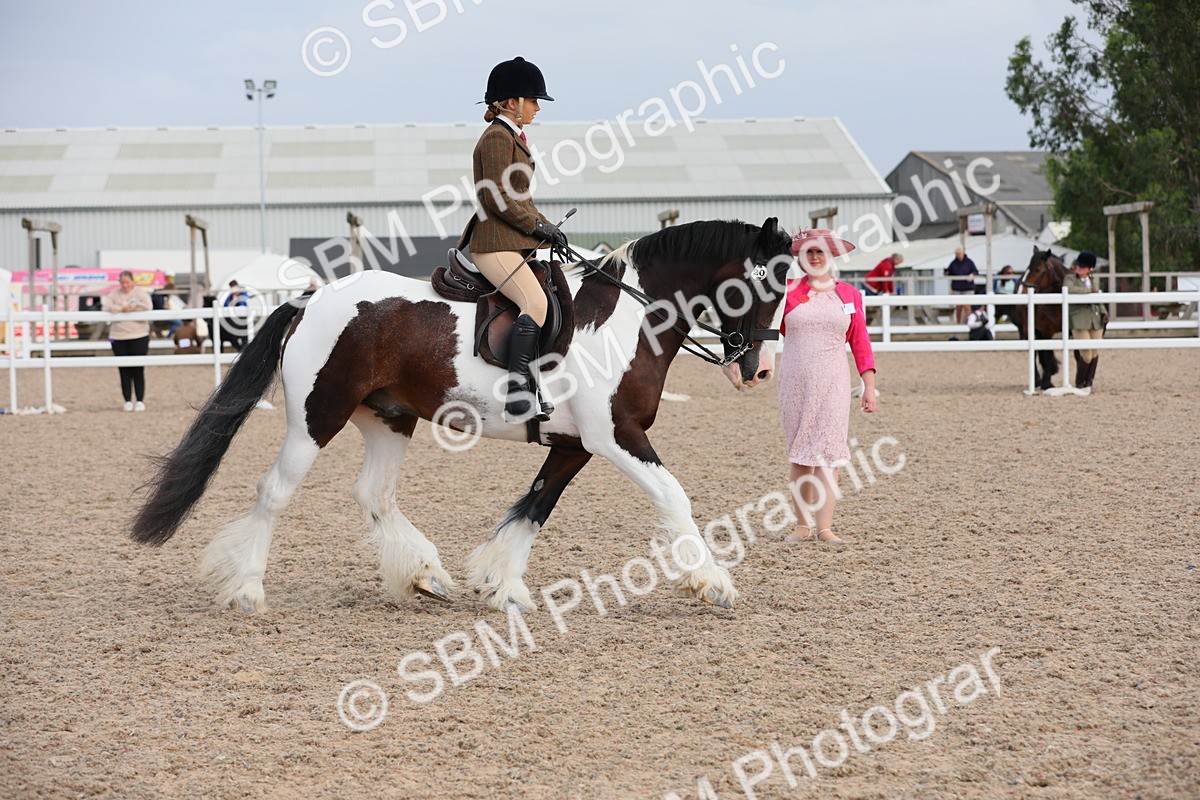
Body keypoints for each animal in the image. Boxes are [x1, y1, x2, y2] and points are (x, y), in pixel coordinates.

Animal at [130, 218, 795, 614]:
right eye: (763, 285)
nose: (760, 369)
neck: (626, 317)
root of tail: (312, 298)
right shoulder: (616, 437)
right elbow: (673, 495)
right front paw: (713, 581)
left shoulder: (574, 444)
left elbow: (534, 508)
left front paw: (501, 586)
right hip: (317, 418)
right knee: (274, 491)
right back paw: (247, 589)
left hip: (389, 419)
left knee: (374, 494)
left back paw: (425, 574)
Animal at [997, 247, 1068, 391]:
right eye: (1027, 269)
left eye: (1038, 270)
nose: (1022, 291)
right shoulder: (1045, 331)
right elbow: (1046, 353)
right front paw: (1047, 382)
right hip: (1030, 328)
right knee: (1036, 352)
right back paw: (1037, 380)